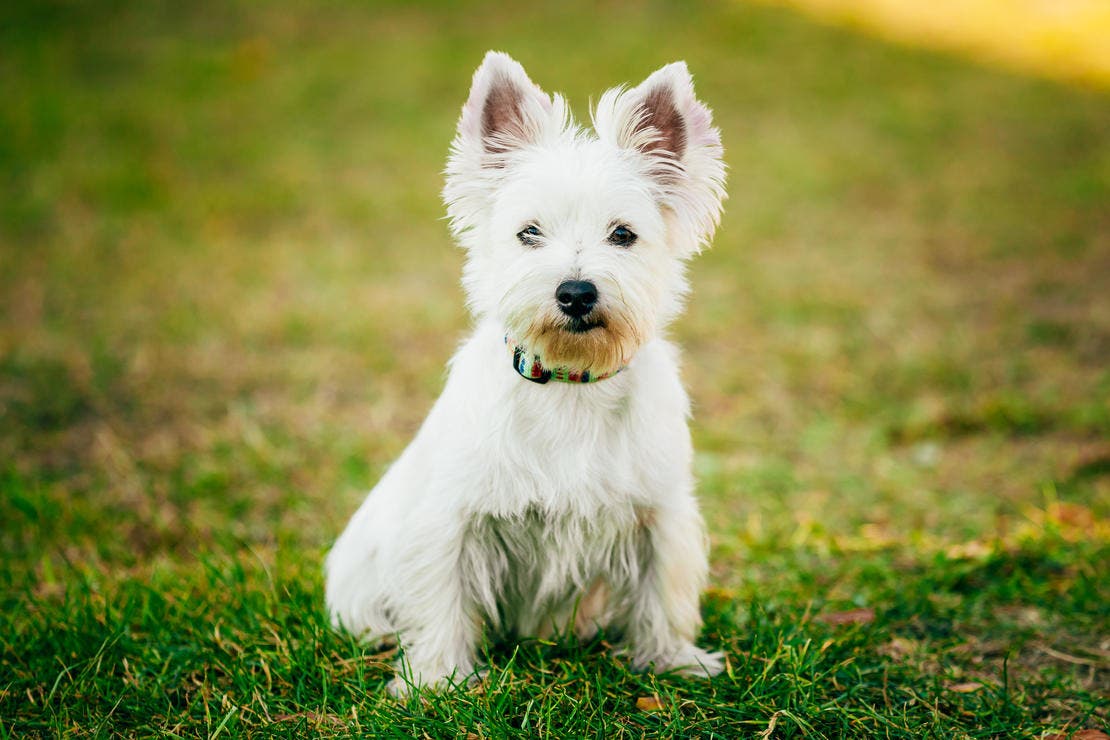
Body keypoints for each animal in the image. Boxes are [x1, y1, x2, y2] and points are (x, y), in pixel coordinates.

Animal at [326, 52, 728, 696]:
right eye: (529, 232)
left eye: (623, 234)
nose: (575, 292)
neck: (570, 382)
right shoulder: (452, 518)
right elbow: (442, 599)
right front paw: (436, 680)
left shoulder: (659, 513)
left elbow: (662, 591)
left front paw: (671, 660)